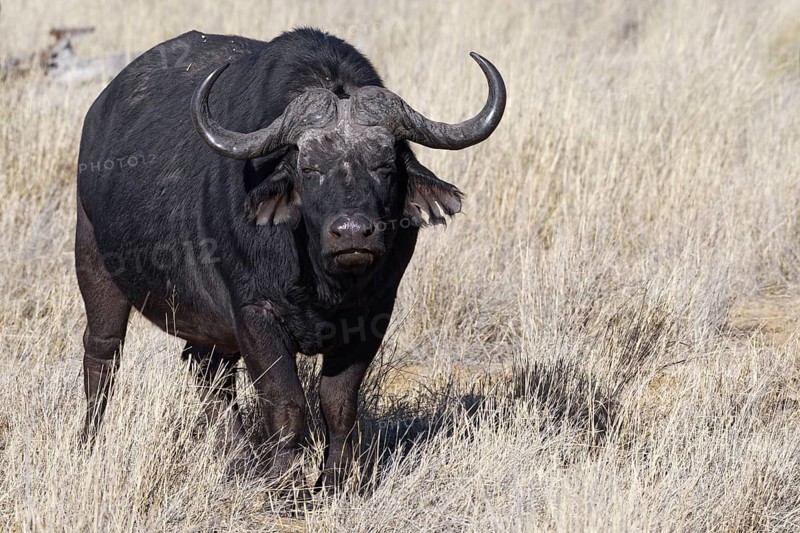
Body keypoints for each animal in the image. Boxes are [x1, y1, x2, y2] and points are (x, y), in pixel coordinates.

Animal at [75, 28, 505, 489]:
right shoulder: (255, 314)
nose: (351, 232)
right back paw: (90, 441)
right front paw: (284, 484)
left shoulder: (374, 315)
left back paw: (237, 457)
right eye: (309, 168)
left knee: (207, 371)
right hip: (94, 264)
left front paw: (335, 481)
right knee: (103, 354)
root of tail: (97, 114)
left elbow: (338, 402)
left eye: (385, 165)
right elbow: (286, 403)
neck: (323, 284)